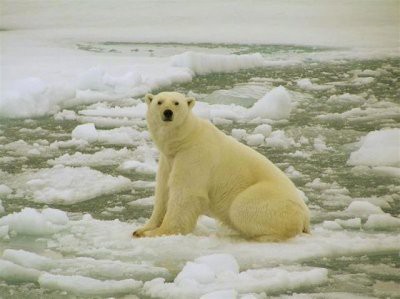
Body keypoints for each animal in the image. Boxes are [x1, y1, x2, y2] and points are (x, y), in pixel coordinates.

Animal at [133, 91, 310, 241]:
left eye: (176, 103)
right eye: (159, 102)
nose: (168, 112)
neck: (185, 139)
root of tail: (306, 217)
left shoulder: (195, 156)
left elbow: (185, 194)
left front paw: (157, 232)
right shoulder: (168, 160)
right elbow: (163, 192)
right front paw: (141, 229)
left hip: (271, 200)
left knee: (241, 208)